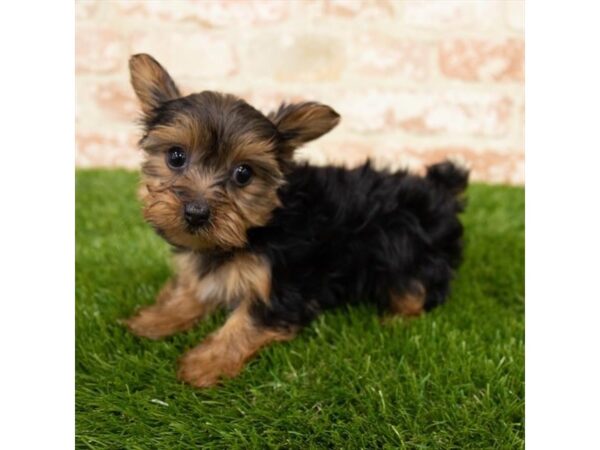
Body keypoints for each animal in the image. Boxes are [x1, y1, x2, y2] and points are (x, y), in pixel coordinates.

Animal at [123, 54, 468, 388]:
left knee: (420, 290)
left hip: (411, 253)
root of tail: (441, 188)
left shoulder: (286, 284)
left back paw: (396, 319)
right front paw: (156, 319)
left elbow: (246, 321)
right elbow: (192, 289)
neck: (255, 230)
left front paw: (206, 364)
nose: (196, 212)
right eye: (176, 156)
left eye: (243, 173)